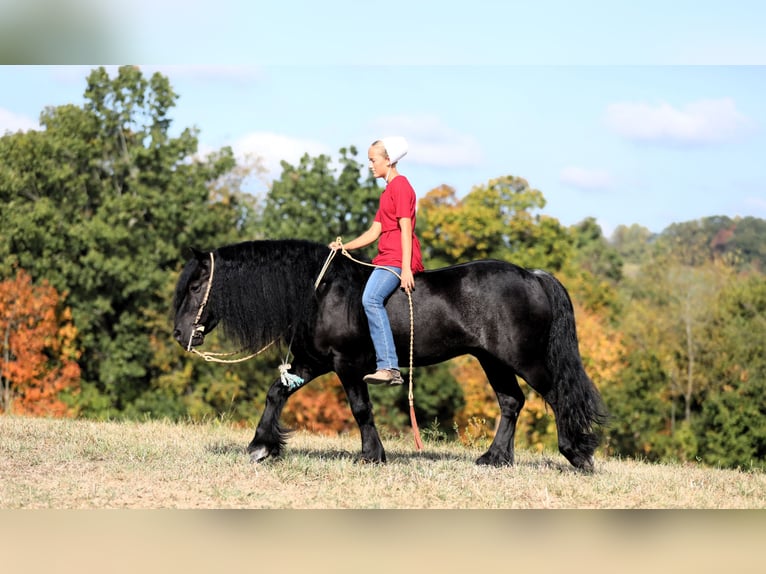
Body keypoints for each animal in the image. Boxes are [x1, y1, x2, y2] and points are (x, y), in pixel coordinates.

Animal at [174, 238, 612, 472]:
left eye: (196, 287)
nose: (180, 334)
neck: (321, 293)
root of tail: (532, 276)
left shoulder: (347, 365)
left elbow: (360, 410)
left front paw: (372, 455)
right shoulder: (313, 362)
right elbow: (275, 393)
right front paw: (262, 445)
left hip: (525, 360)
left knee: (558, 397)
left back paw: (578, 455)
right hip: (493, 360)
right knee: (511, 402)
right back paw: (495, 458)